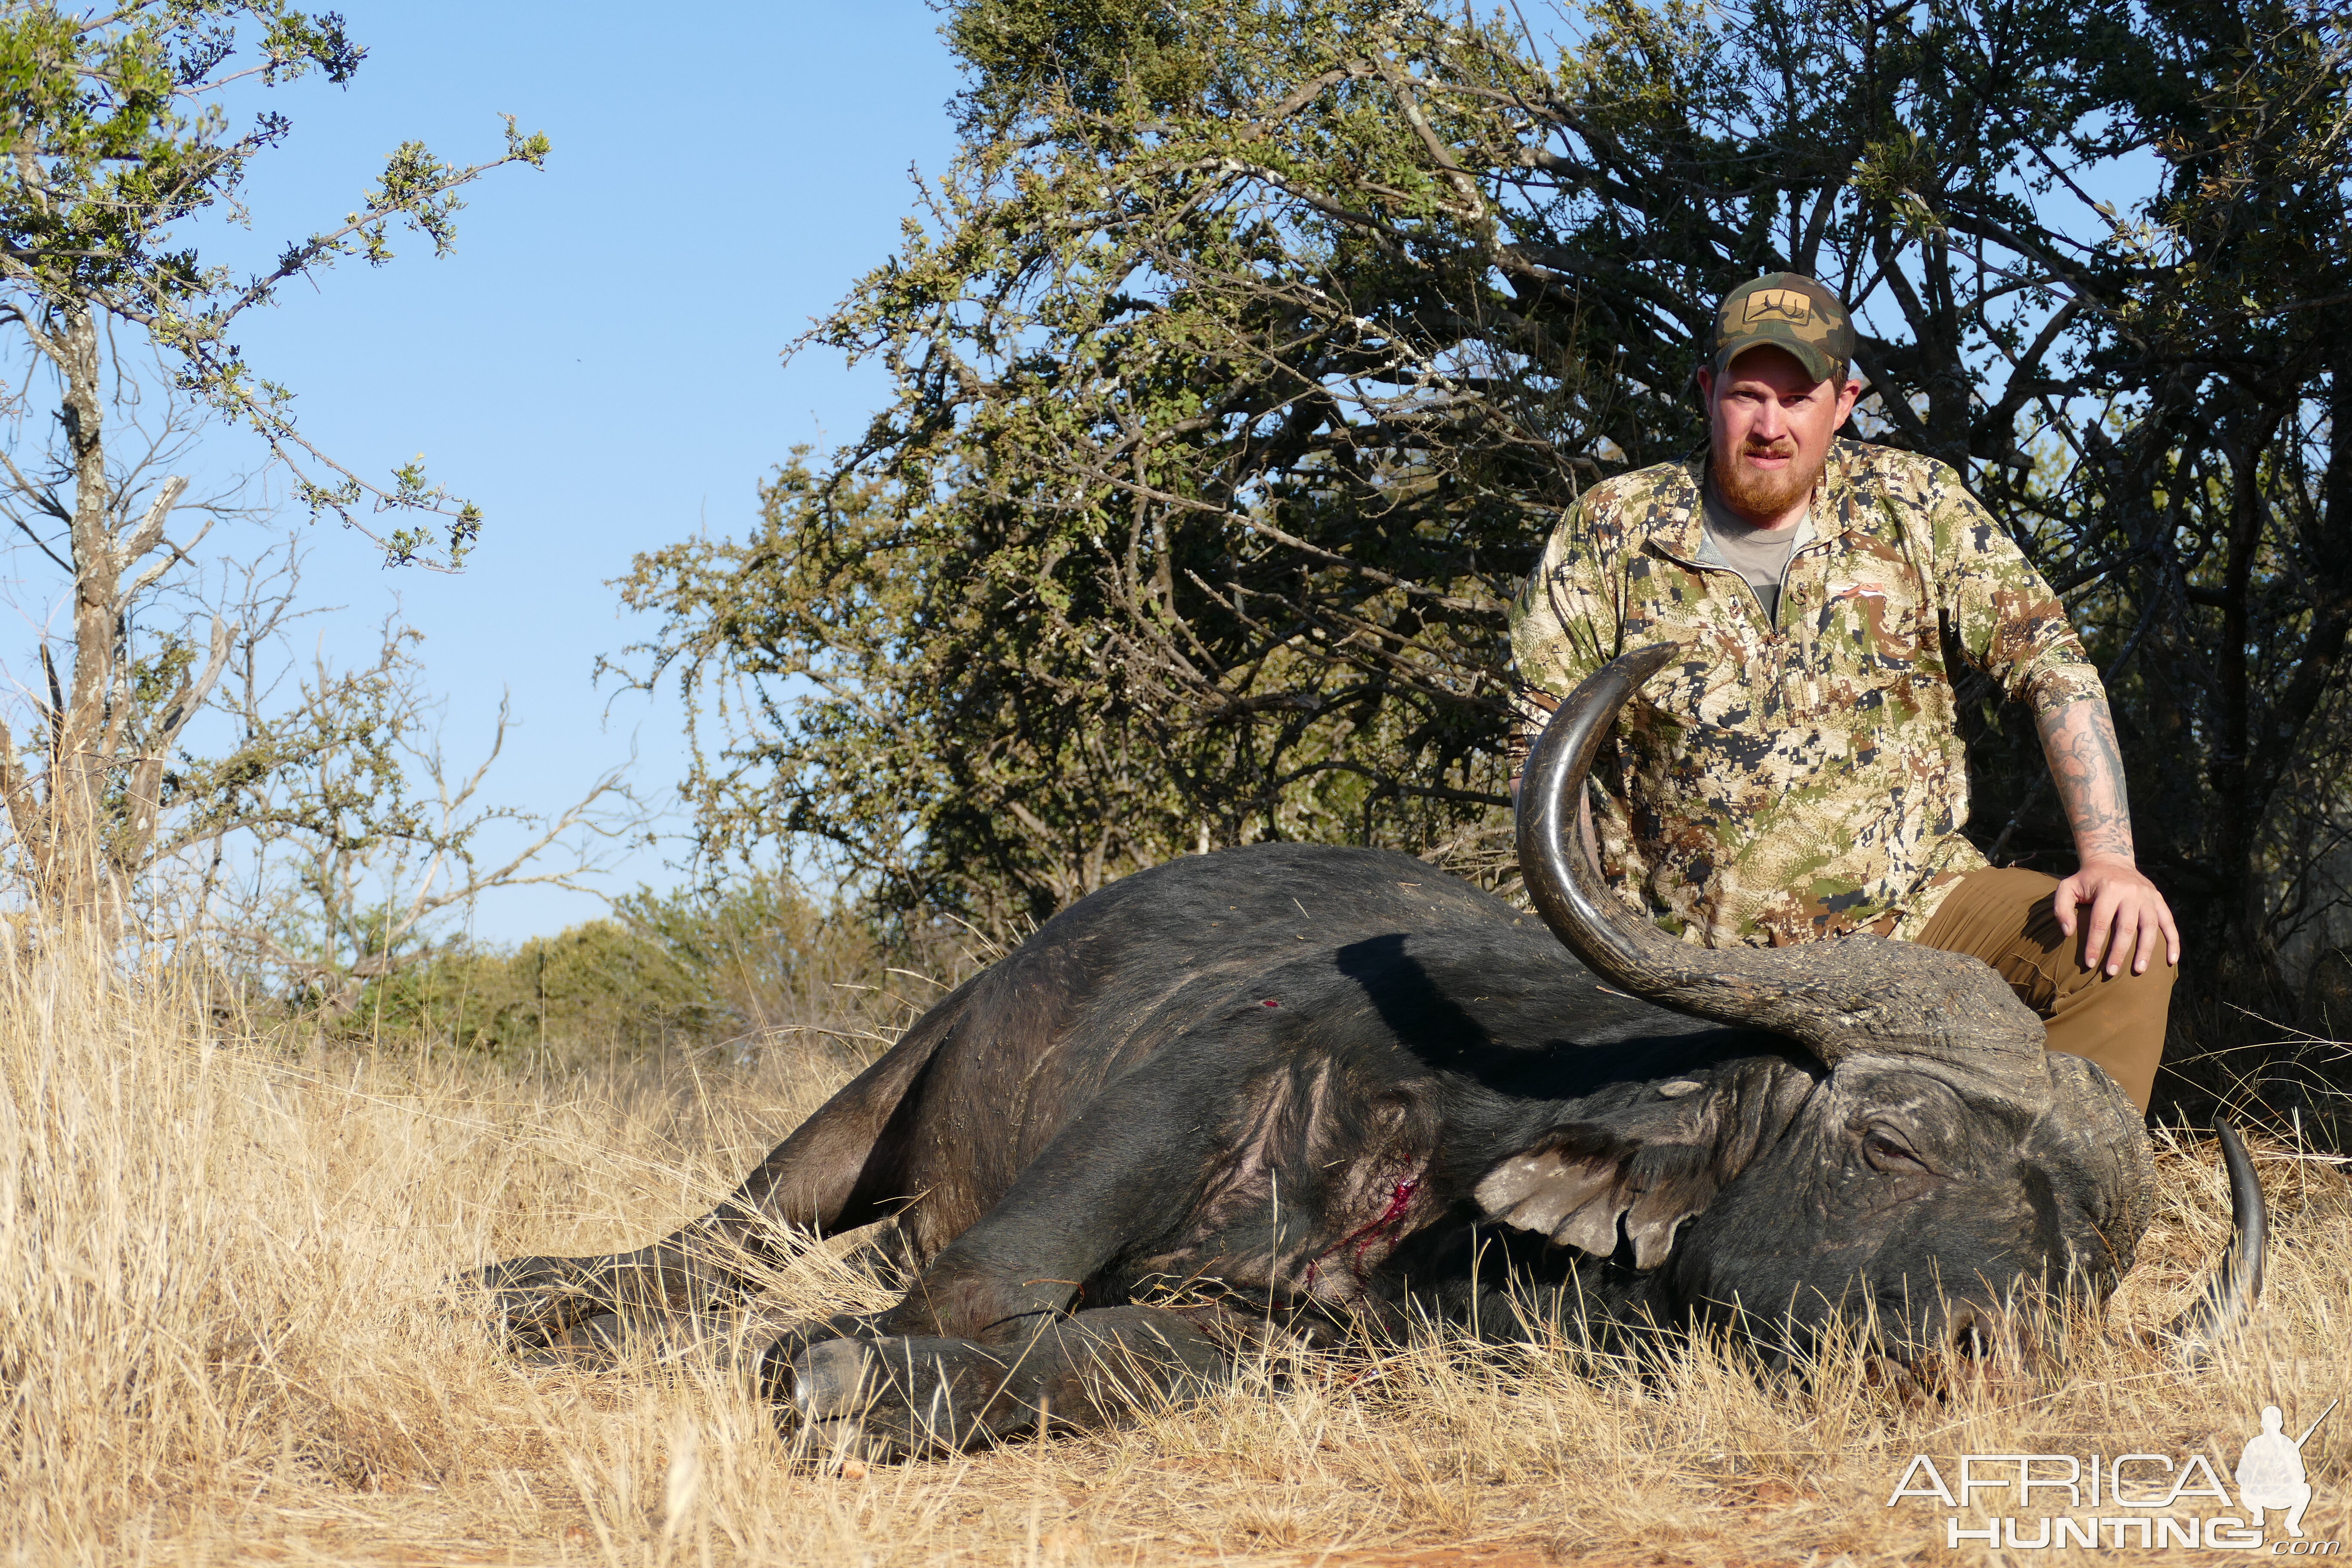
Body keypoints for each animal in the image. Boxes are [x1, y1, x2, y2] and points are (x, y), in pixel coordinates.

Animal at [472, 644, 2258, 1457]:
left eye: (2081, 1266)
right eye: (1889, 1139)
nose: (1978, 1357)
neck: (1449, 1190)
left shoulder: (1278, 1339)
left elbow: (1090, 1359)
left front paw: (857, 1374)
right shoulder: (1183, 1100)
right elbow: (980, 1278)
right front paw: (828, 1346)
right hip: (875, 1095)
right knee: (726, 1231)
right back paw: (534, 1287)